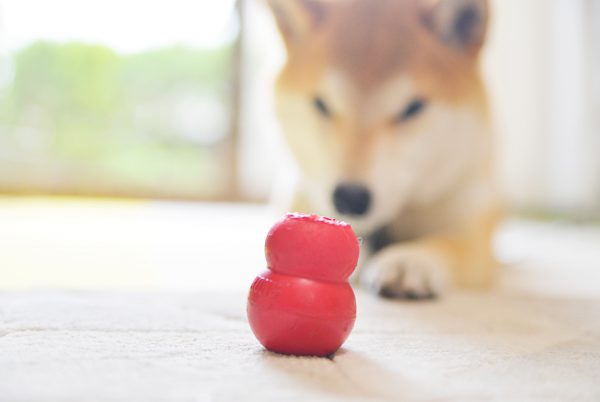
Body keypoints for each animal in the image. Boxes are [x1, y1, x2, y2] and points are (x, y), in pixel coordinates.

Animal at [268, 0, 502, 296]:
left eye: (412, 108)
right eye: (321, 105)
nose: (350, 198)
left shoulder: (468, 223)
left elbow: (446, 245)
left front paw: (411, 259)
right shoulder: (305, 193)